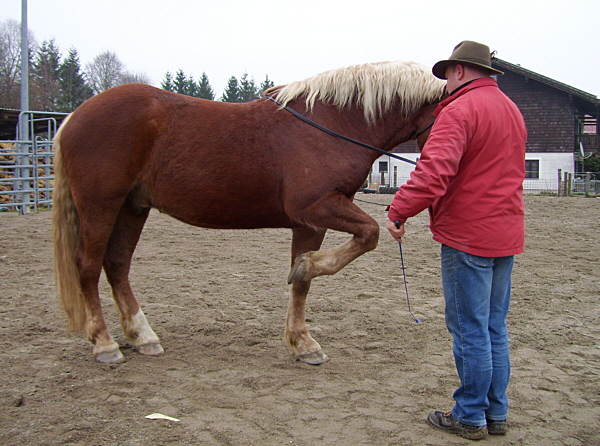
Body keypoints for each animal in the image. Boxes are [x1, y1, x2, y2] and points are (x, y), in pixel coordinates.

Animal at [52, 60, 446, 366]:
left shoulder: (309, 222)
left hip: (132, 207)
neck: (334, 124)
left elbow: (303, 282)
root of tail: (73, 117)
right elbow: (370, 233)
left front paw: (302, 341)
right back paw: (105, 344)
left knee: (117, 265)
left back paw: (142, 336)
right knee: (88, 266)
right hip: (101, 206)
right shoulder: (316, 207)